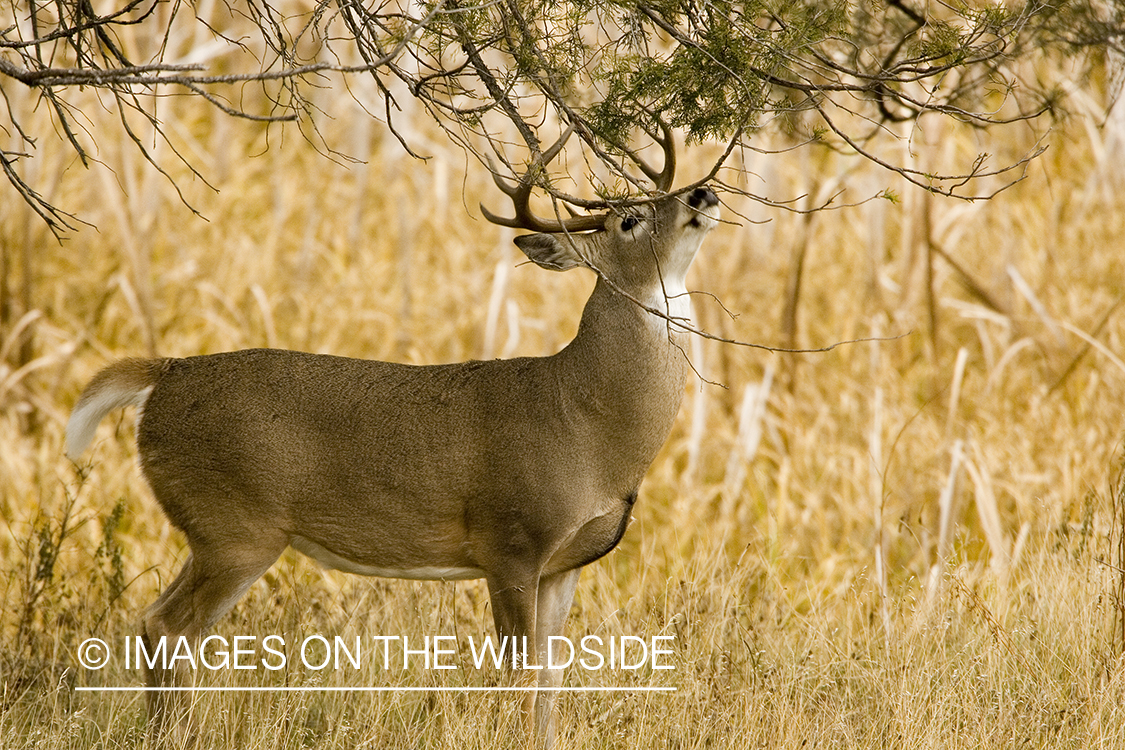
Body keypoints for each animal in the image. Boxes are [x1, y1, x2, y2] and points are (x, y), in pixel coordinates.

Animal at [65, 127, 720, 746]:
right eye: (628, 219)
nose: (702, 193)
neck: (586, 422)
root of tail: (166, 374)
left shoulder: (566, 563)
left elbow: (552, 682)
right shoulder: (511, 539)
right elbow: (518, 675)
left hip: (211, 530)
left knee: (156, 620)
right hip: (237, 527)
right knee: (167, 626)